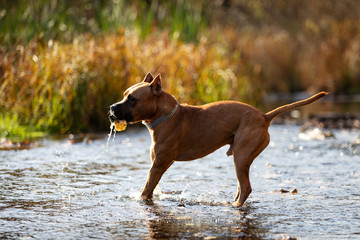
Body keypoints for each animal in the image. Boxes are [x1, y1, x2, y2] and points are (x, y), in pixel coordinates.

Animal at [108, 73, 328, 206]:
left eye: (132, 99)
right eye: (124, 95)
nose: (111, 107)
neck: (166, 115)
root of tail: (263, 116)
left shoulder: (158, 165)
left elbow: (147, 188)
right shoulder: (158, 164)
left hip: (241, 157)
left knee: (246, 187)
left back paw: (235, 206)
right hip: (242, 159)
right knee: (241, 186)